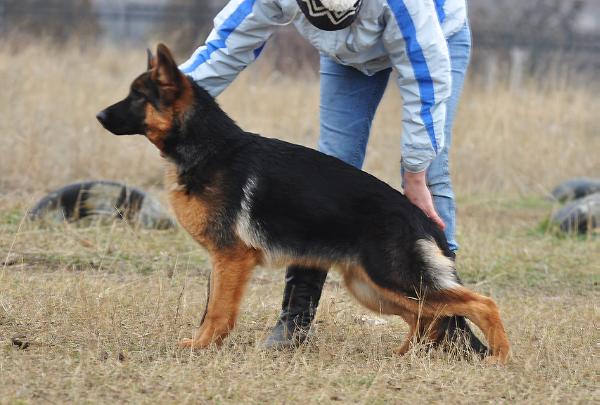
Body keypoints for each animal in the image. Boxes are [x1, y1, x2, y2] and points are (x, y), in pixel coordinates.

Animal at [96, 44, 508, 362]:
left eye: (137, 96)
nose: (99, 115)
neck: (209, 147)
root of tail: (421, 218)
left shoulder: (231, 259)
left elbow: (217, 312)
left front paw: (202, 347)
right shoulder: (223, 261)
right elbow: (210, 307)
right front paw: (202, 345)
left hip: (392, 279)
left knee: (480, 304)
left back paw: (499, 358)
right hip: (371, 287)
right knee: (428, 318)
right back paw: (403, 357)